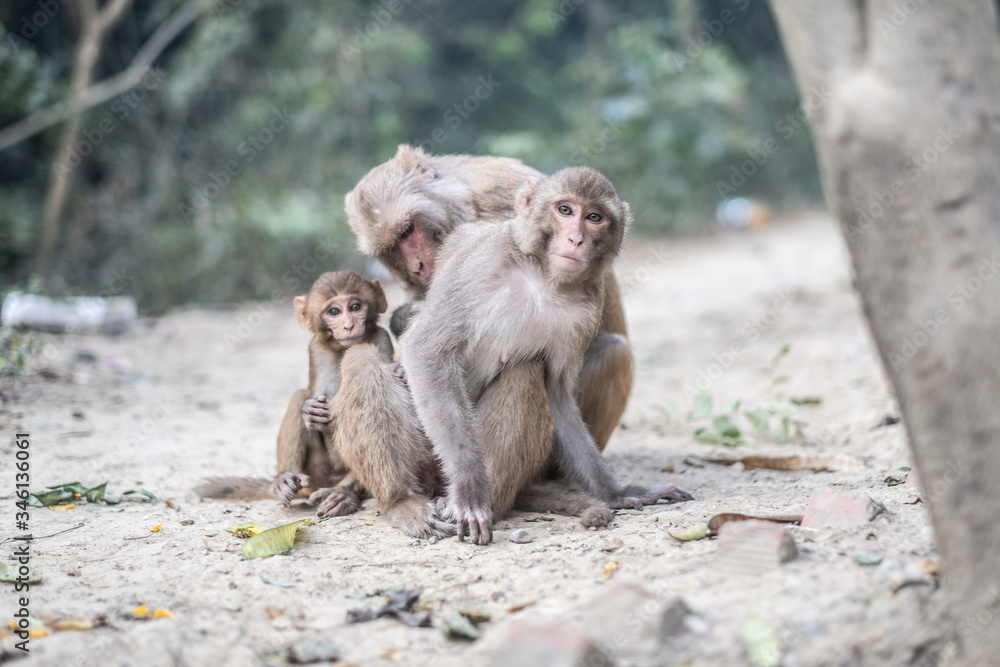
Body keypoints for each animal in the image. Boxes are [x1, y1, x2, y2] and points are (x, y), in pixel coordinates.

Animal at [400, 167, 696, 544]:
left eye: (595, 217)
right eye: (565, 210)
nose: (576, 240)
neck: (543, 277)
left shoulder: (588, 310)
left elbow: (557, 393)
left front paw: (616, 492)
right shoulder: (482, 263)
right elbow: (427, 350)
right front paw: (469, 491)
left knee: (527, 370)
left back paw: (498, 501)